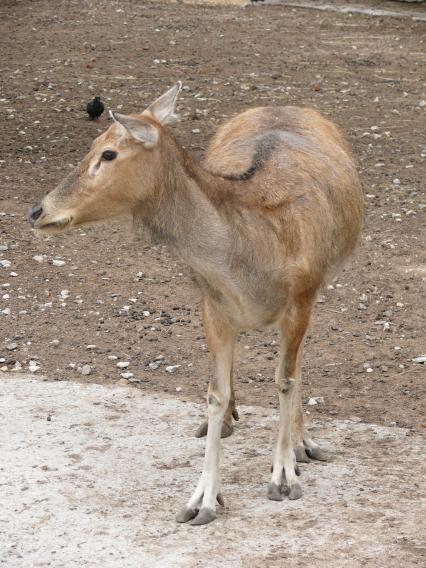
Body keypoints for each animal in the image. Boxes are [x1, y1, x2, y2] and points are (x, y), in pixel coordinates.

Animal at [29, 82, 362, 524]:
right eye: (92, 146)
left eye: (108, 153)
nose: (38, 211)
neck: (252, 259)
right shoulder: (212, 304)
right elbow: (214, 393)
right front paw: (202, 499)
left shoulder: (302, 296)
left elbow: (285, 380)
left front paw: (283, 476)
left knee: (296, 363)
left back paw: (303, 443)